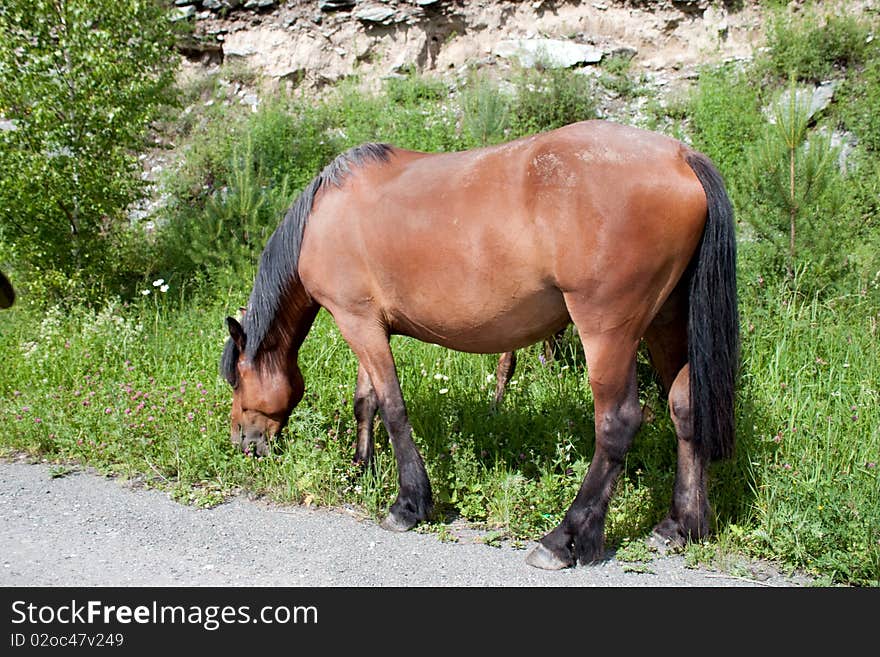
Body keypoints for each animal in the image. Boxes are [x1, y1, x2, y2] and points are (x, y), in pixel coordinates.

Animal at [220, 119, 736, 568]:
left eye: (237, 380)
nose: (244, 443)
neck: (321, 218)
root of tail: (680, 157)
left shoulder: (356, 322)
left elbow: (393, 408)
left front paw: (409, 503)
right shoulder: (368, 323)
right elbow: (366, 401)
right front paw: (361, 470)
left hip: (608, 332)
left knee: (618, 423)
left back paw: (565, 539)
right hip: (667, 322)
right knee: (685, 408)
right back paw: (680, 526)